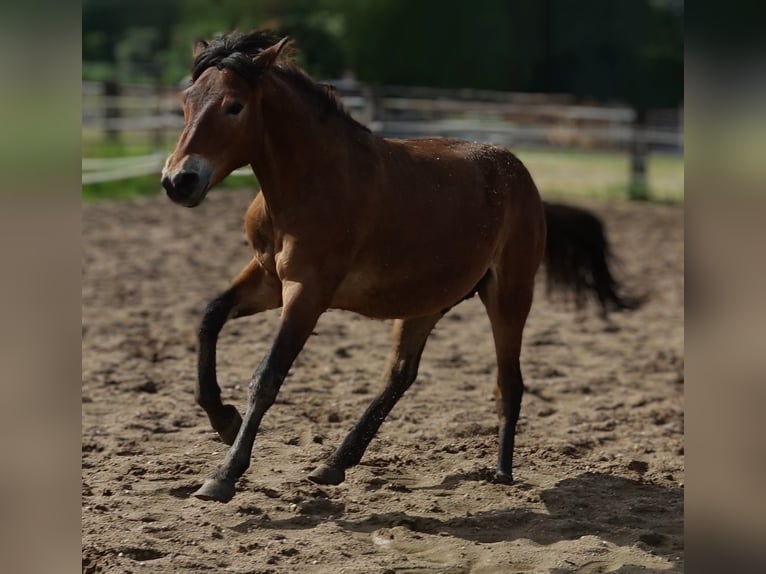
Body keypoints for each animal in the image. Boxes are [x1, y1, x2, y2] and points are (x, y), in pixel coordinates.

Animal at [160, 30, 636, 504]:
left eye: (234, 106)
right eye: (187, 101)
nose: (178, 181)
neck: (314, 182)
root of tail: (526, 182)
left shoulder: (307, 291)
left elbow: (267, 375)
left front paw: (224, 475)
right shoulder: (269, 279)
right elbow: (210, 316)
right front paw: (224, 420)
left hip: (510, 296)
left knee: (508, 382)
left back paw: (501, 471)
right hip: (426, 302)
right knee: (401, 375)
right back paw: (335, 463)